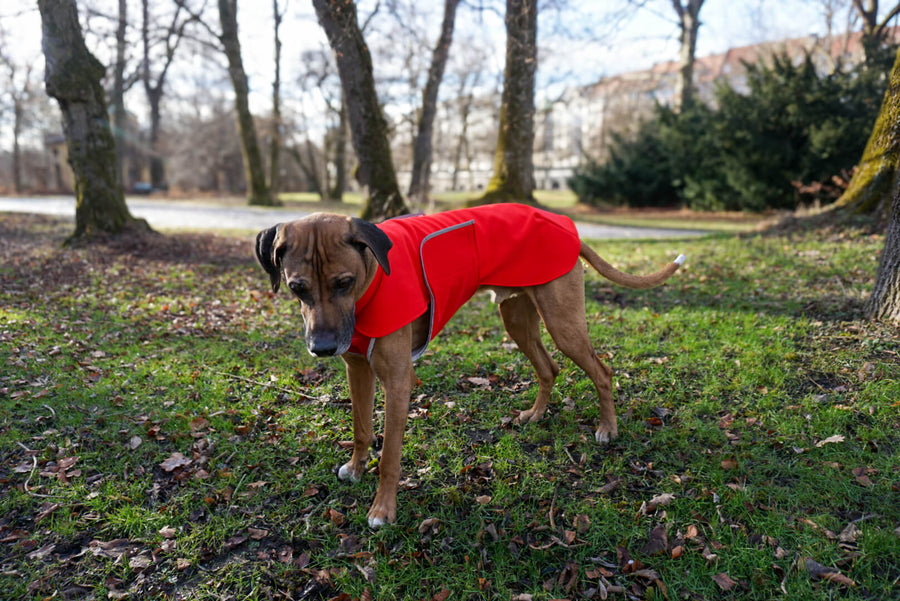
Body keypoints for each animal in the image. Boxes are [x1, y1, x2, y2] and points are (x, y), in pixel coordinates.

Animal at [253, 204, 684, 524]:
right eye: (297, 288)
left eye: (343, 282)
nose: (322, 348)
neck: (372, 281)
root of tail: (565, 226)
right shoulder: (358, 369)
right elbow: (361, 429)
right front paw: (356, 468)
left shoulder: (398, 382)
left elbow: (390, 455)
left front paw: (382, 509)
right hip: (517, 319)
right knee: (549, 369)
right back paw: (536, 415)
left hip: (564, 325)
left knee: (602, 372)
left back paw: (607, 428)